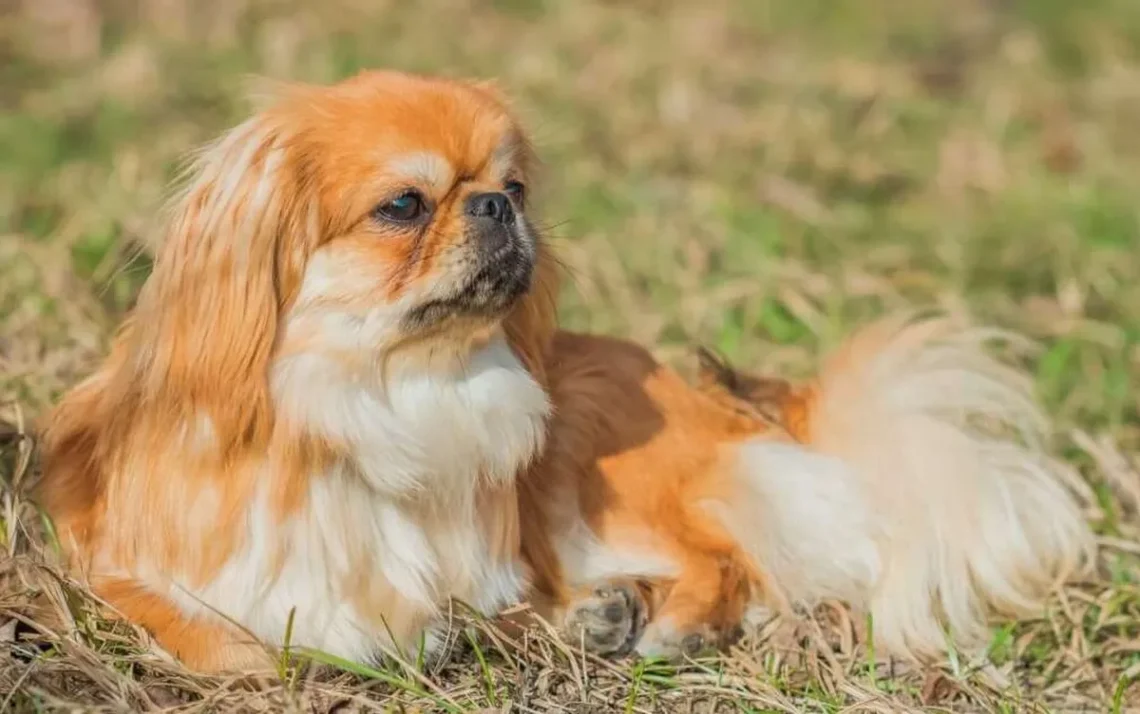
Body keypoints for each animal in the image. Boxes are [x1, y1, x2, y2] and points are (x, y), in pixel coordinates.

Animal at [37, 69, 1094, 670]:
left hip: (588, 458)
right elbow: (236, 645)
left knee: (730, 556)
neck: (385, 395)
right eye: (404, 205)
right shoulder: (128, 567)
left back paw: (664, 623)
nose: (498, 207)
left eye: (512, 186)